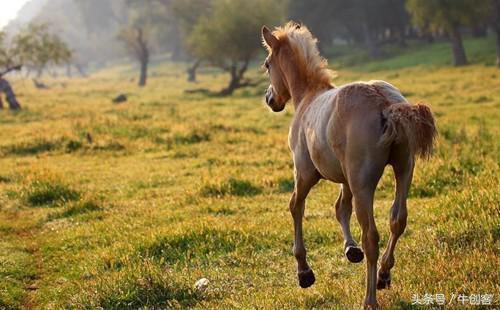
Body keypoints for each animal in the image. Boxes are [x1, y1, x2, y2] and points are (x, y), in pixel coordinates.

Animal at [260, 23, 436, 308]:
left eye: (267, 64)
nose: (269, 98)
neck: (307, 97)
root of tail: (385, 103)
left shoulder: (305, 173)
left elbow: (296, 206)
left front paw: (304, 273)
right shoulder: (346, 177)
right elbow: (341, 207)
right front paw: (351, 250)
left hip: (364, 184)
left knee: (371, 235)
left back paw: (369, 299)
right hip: (403, 169)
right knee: (397, 219)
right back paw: (383, 275)